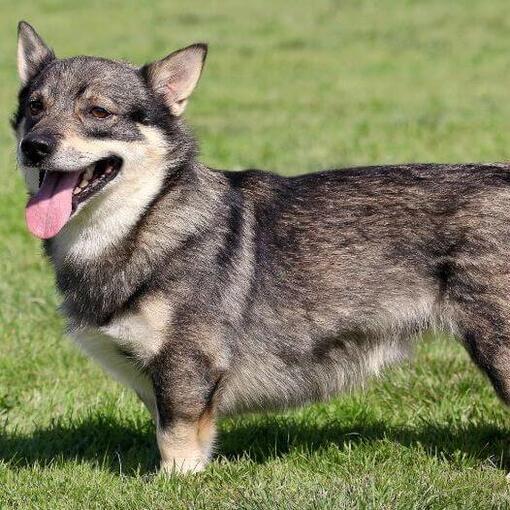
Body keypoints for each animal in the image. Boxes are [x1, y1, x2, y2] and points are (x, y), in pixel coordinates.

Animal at [11, 19, 510, 474]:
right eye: (35, 107)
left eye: (98, 112)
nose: (33, 146)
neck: (146, 218)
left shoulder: (186, 368)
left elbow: (175, 444)